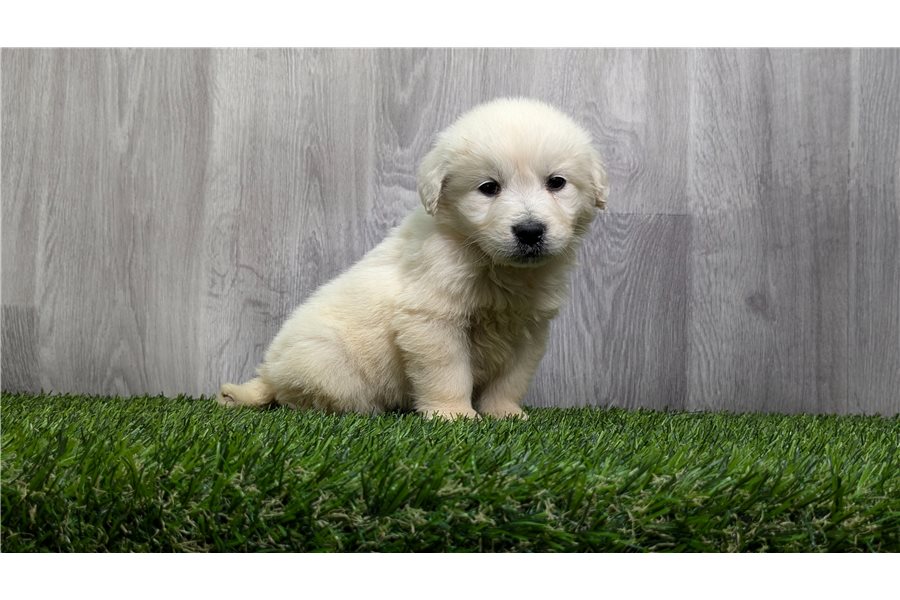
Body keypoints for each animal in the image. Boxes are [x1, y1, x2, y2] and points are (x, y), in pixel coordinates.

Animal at [216, 98, 607, 419]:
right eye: (489, 188)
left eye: (556, 183)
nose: (529, 231)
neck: (490, 261)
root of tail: (268, 371)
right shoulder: (432, 320)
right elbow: (449, 373)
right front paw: (454, 414)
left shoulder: (528, 329)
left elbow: (512, 378)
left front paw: (504, 412)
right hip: (326, 359)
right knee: (298, 397)